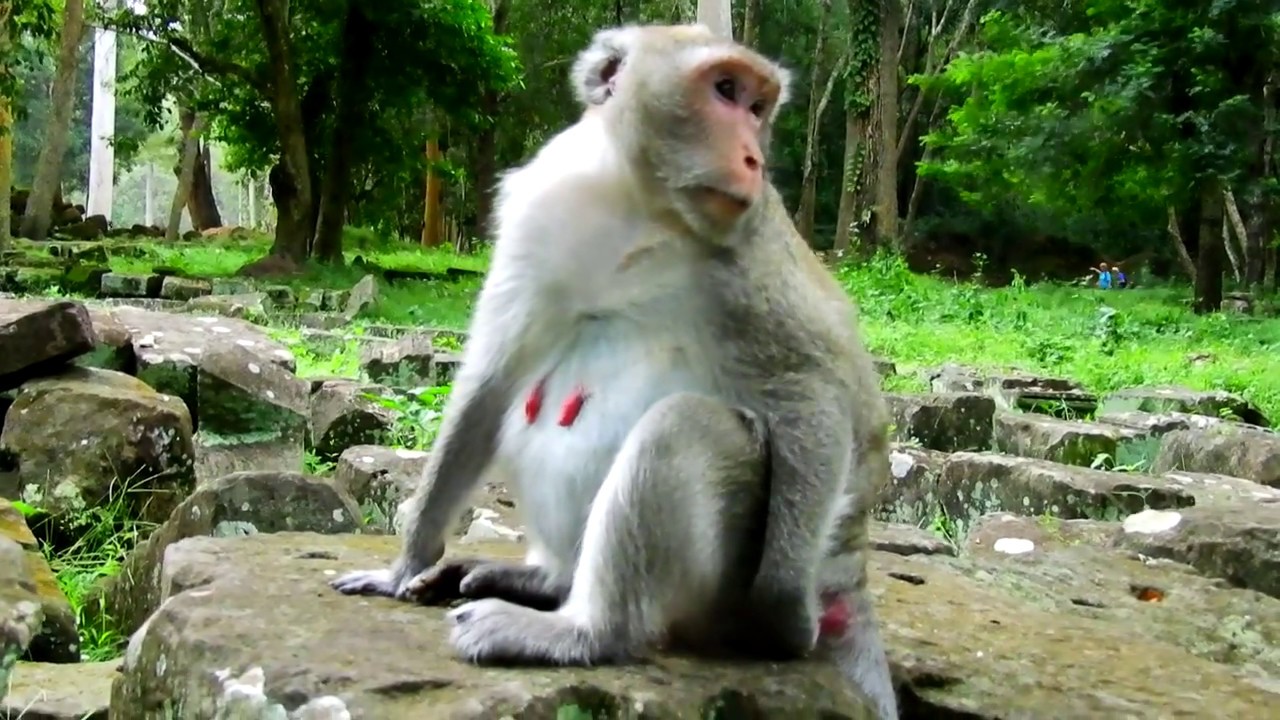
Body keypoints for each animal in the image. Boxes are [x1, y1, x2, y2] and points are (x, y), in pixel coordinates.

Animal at [330, 23, 898, 720]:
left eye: (758, 107)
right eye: (726, 90)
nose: (753, 158)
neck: (636, 200)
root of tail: (853, 567)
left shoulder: (747, 256)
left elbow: (817, 392)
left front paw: (784, 617)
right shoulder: (538, 215)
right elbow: (491, 381)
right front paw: (404, 565)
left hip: (721, 579)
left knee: (686, 425)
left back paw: (586, 630)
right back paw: (541, 579)